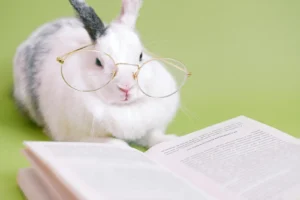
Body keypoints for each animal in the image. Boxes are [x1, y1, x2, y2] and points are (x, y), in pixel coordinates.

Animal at [12, 0, 182, 147]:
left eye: (140, 56)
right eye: (98, 62)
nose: (126, 87)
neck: (123, 109)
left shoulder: (148, 128)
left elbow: (153, 136)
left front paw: (170, 140)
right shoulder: (79, 136)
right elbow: (115, 143)